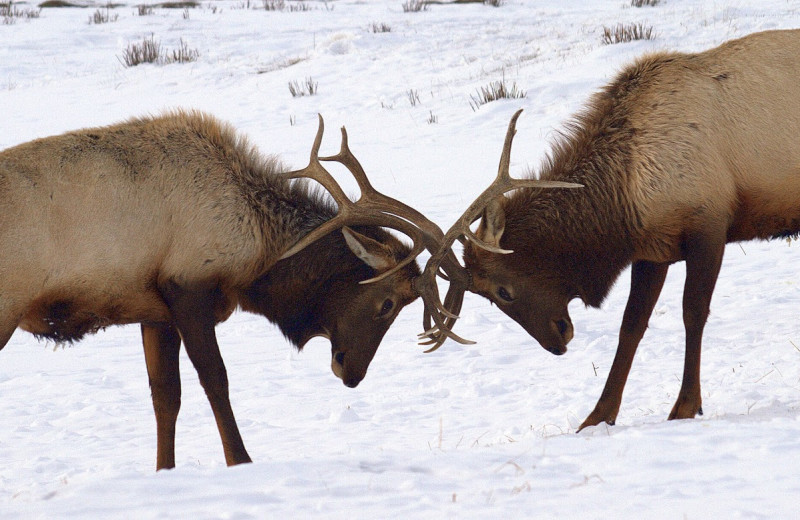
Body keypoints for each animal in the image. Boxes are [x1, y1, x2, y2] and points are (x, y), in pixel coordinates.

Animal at [0, 111, 462, 470]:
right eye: (387, 303)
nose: (351, 374)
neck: (257, 251)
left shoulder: (154, 311)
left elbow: (165, 397)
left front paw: (164, 471)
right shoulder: (188, 289)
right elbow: (216, 381)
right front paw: (241, 460)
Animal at [418, 29, 800, 430]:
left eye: (502, 290)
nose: (557, 341)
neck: (624, 193)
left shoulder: (708, 226)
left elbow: (693, 313)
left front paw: (685, 406)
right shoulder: (654, 250)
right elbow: (631, 325)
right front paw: (597, 417)